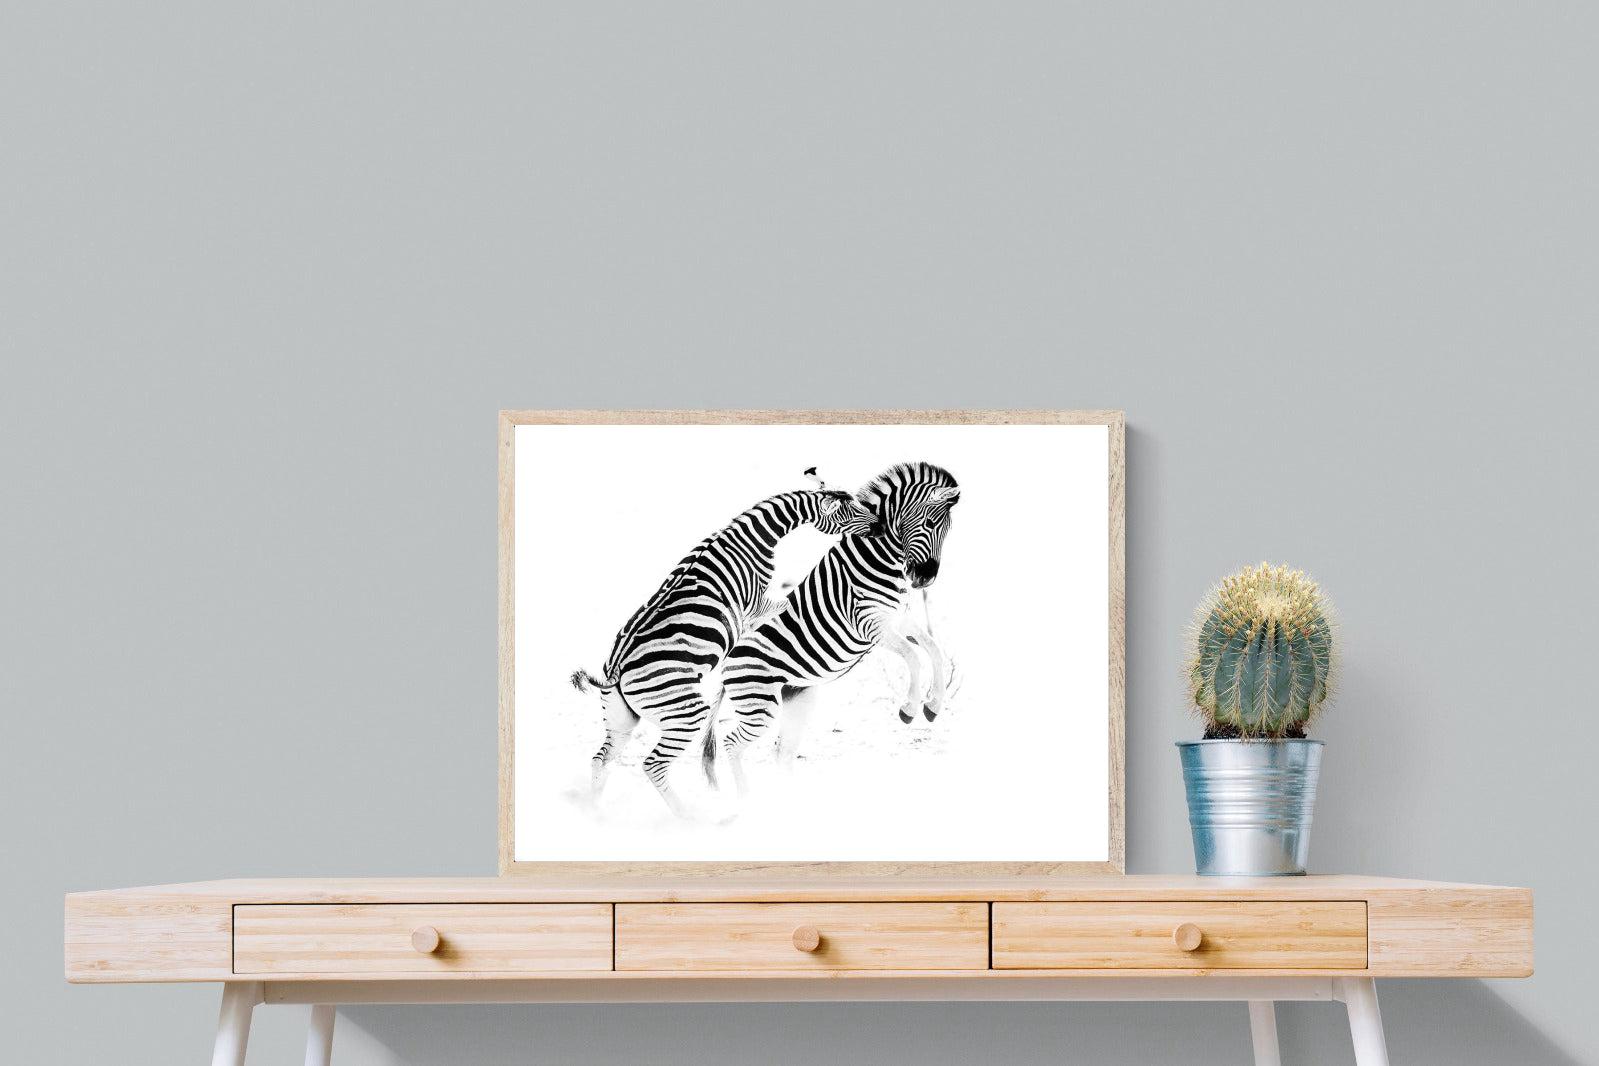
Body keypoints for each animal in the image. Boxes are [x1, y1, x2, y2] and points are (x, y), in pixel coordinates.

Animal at [571, 470, 881, 816]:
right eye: (852, 513)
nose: (880, 526)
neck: (753, 539)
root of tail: (616, 669)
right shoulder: (755, 606)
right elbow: (786, 604)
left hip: (621, 719)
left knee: (601, 760)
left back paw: (595, 813)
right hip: (686, 713)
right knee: (653, 764)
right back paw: (688, 816)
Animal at [709, 462, 960, 796]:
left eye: (948, 530)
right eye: (931, 523)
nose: (925, 579)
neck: (877, 557)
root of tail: (726, 661)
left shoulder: (899, 618)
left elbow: (933, 649)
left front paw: (932, 705)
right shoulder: (869, 623)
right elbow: (913, 655)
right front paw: (909, 708)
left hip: (797, 698)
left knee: (782, 752)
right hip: (759, 702)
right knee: (732, 744)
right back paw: (746, 797)